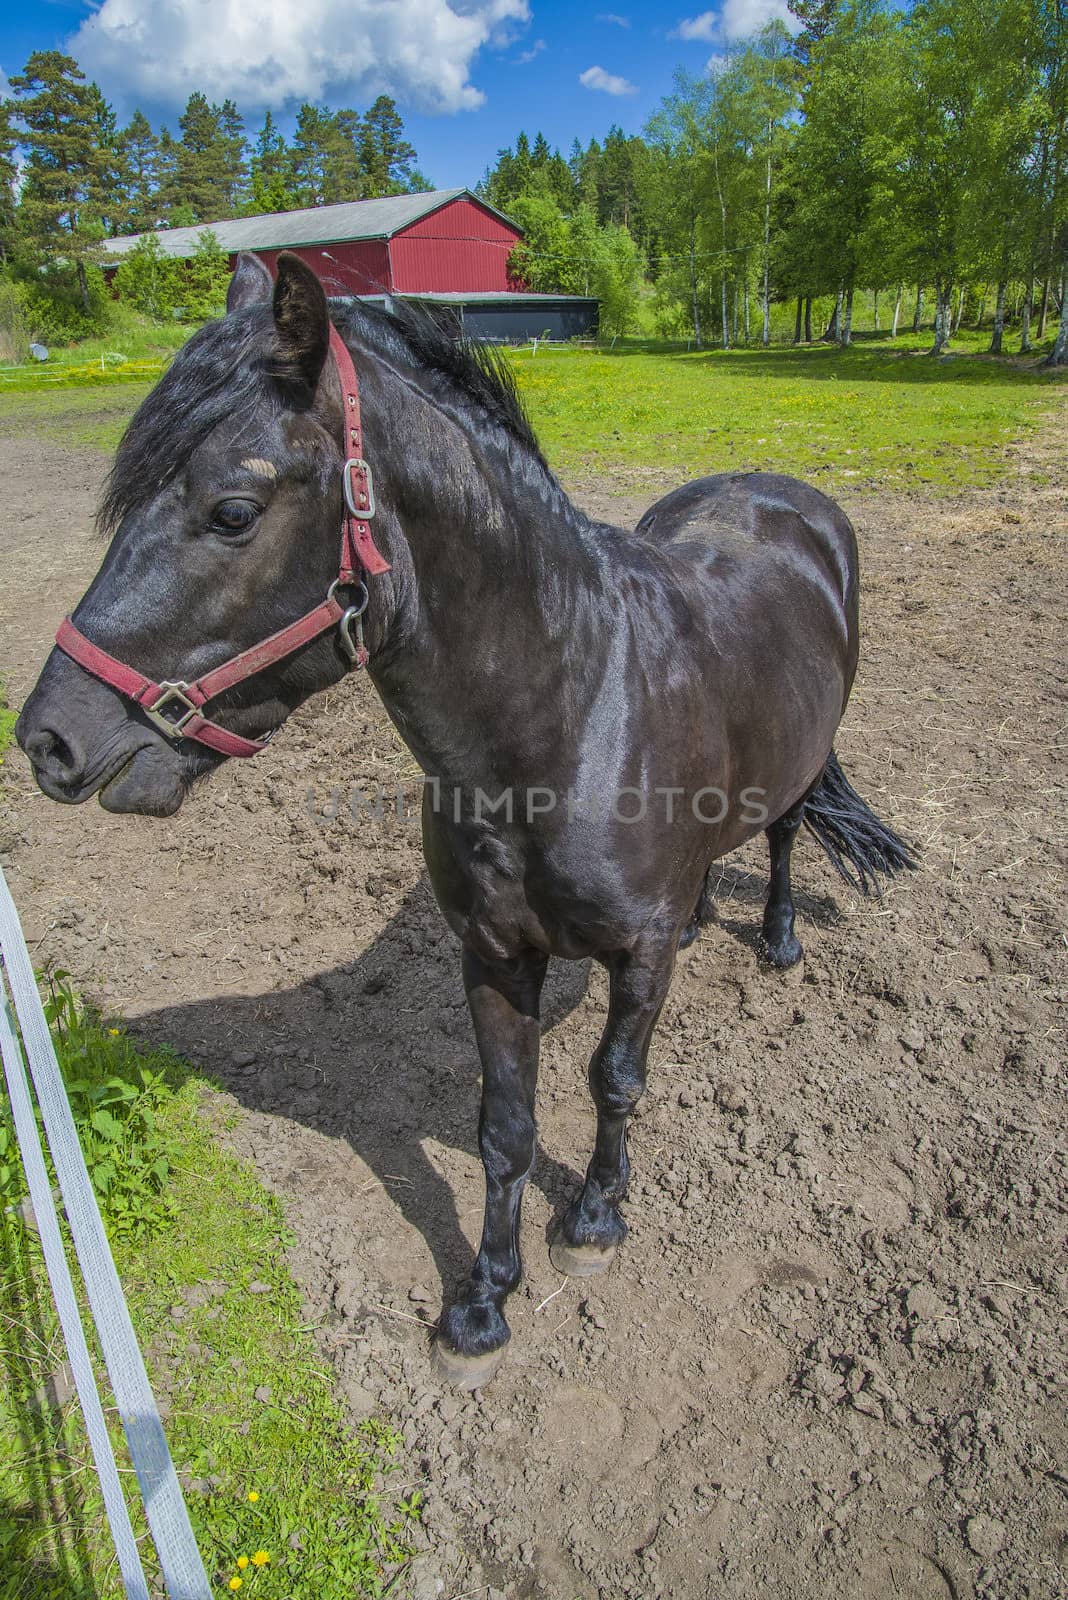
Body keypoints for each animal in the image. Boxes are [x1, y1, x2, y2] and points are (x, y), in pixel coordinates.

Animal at [16, 252, 914, 1388]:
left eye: (232, 511)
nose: (48, 738)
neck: (573, 716)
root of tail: (786, 495)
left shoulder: (635, 953)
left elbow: (615, 1081)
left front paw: (595, 1220)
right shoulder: (492, 955)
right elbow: (504, 1126)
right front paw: (484, 1298)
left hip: (800, 765)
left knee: (790, 834)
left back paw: (780, 937)